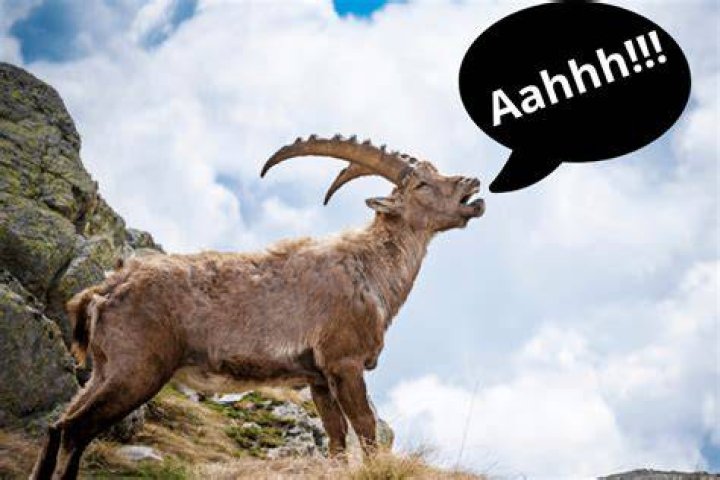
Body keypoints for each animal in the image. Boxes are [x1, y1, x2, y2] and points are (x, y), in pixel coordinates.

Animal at [31, 135, 485, 479]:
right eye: (420, 185)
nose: (473, 182)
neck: (370, 269)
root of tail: (102, 292)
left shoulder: (317, 377)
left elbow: (337, 439)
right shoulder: (344, 362)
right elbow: (365, 429)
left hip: (104, 370)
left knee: (56, 427)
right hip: (137, 370)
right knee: (75, 431)